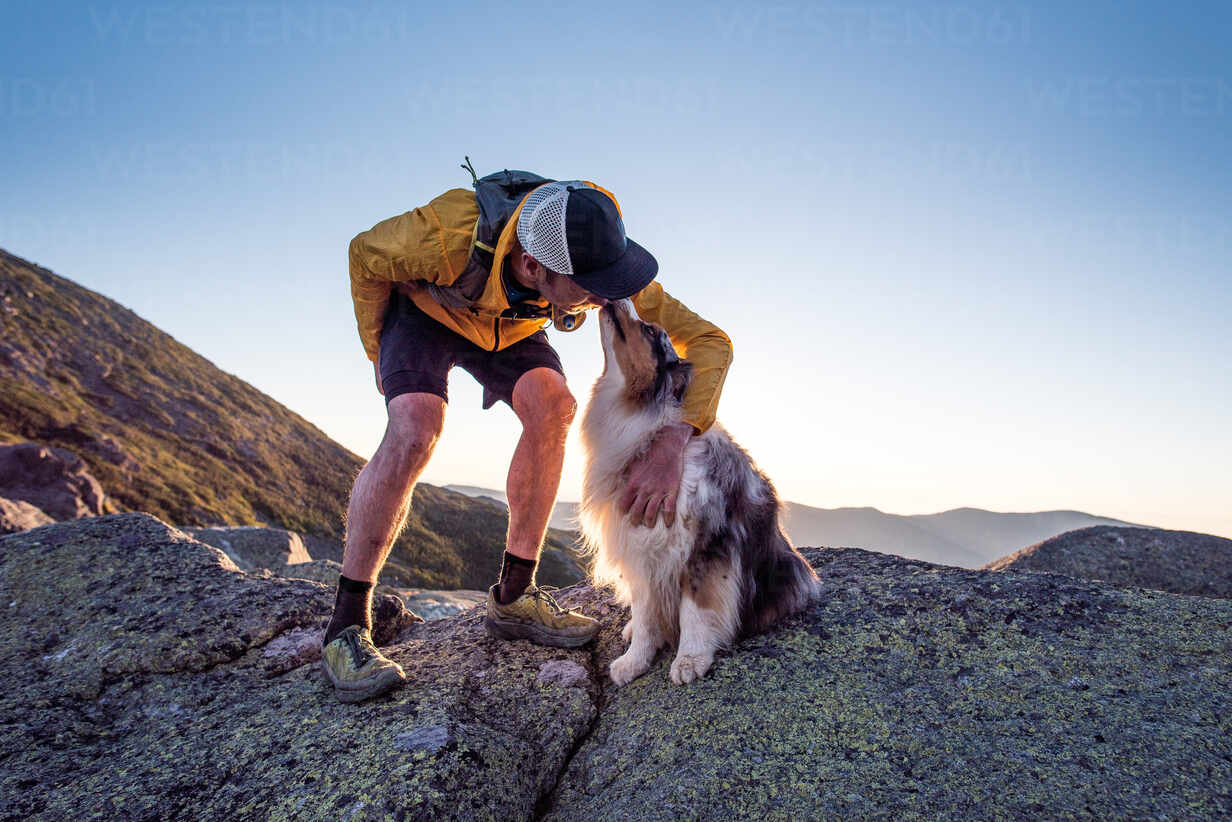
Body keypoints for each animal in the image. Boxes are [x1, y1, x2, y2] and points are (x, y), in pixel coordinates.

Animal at [576, 299, 818, 685]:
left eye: (650, 330)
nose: (617, 299)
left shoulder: (705, 544)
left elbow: (696, 608)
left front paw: (689, 660)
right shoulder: (639, 545)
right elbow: (645, 615)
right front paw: (634, 661)